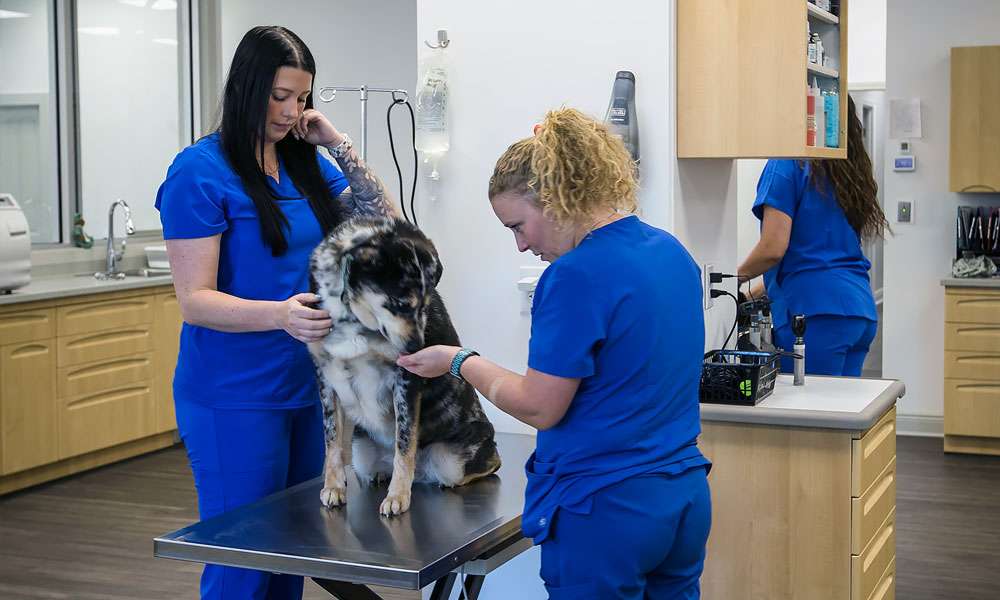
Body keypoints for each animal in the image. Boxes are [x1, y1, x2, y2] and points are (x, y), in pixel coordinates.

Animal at [306, 216, 500, 516]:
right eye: (399, 304)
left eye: (425, 304)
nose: (418, 348)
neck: (354, 318)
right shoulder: (326, 379)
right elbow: (333, 443)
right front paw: (334, 487)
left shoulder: (405, 381)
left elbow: (405, 443)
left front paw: (397, 496)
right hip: (361, 451)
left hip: (452, 459)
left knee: (482, 466)